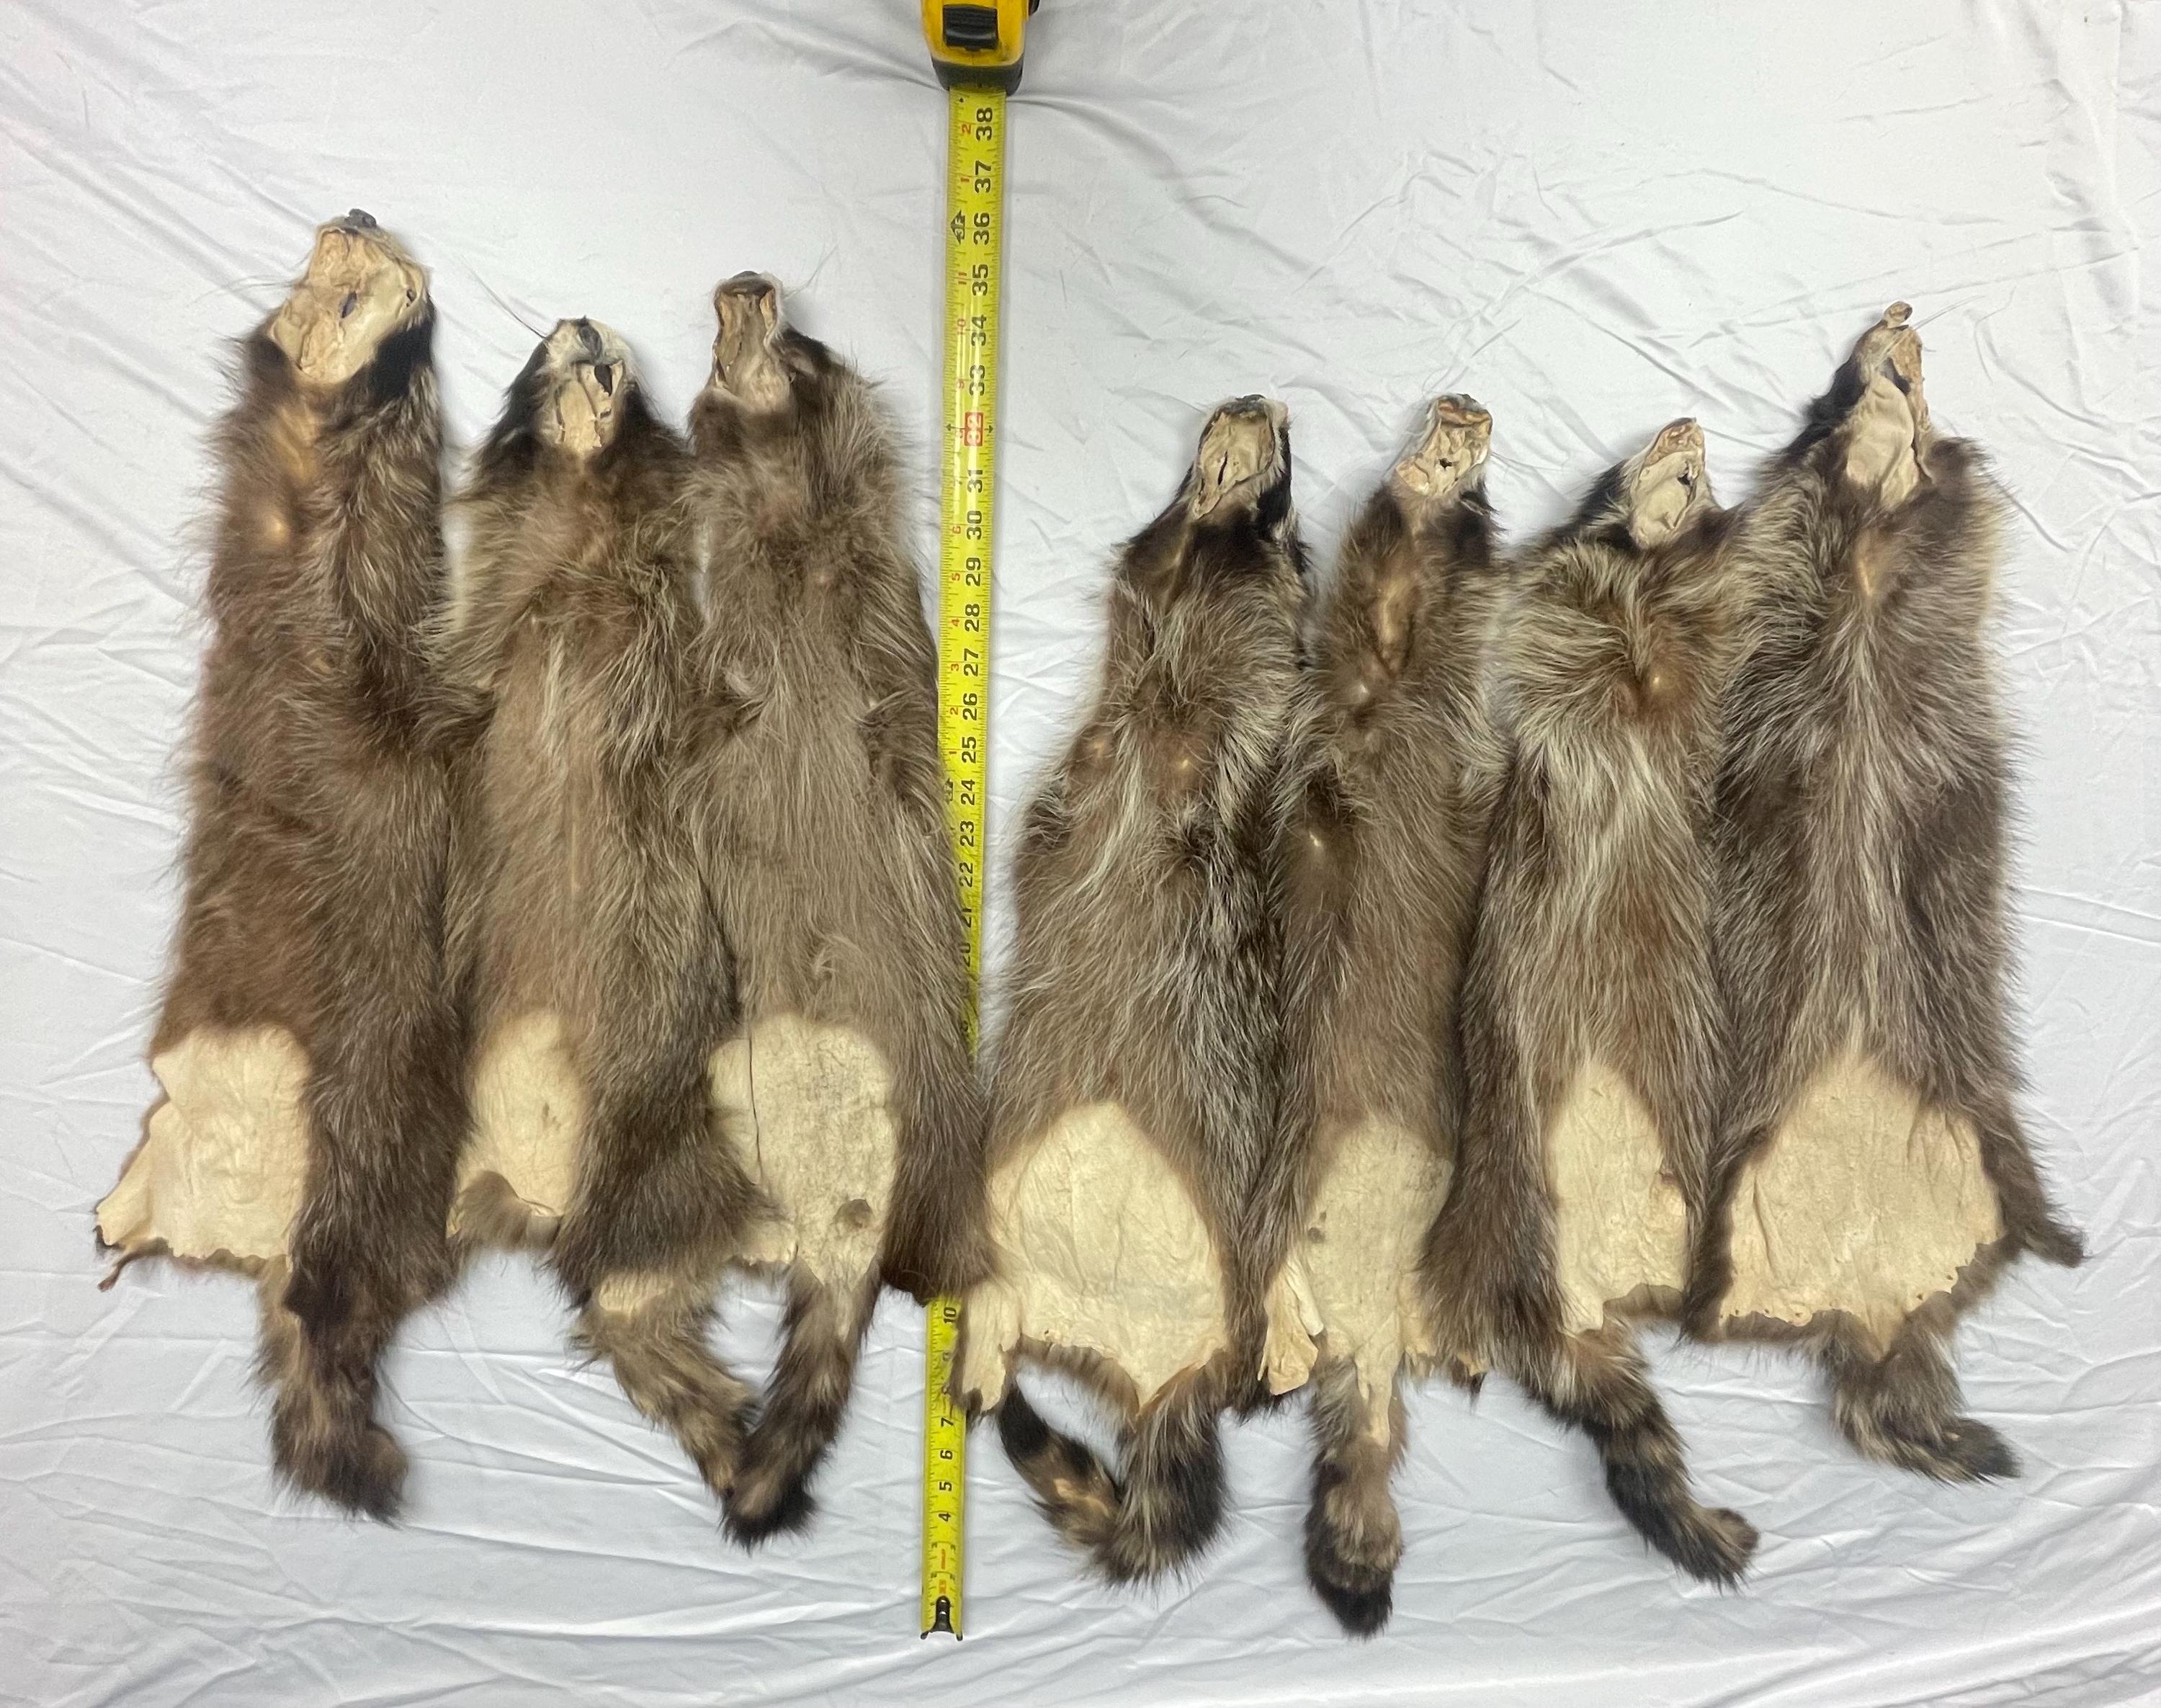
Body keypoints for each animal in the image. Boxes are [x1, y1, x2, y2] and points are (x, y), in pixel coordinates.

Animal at [95, 212, 466, 1519]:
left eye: (374, 287)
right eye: (358, 250)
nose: (353, 213)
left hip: (353, 1170)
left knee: (329, 1296)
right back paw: (116, 1223)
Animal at [433, 319, 762, 1505]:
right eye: (538, 347)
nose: (578, 320)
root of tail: (544, 1202)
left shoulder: (672, 641)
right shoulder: (484, 637)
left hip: (665, 1171)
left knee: (639, 1290)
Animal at [957, 397, 1315, 1584]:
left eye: (1294, 496)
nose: (1258, 401)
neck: (1163, 703)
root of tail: (1146, 1363)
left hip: (1241, 1199)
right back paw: (986, 1319)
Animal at [1421, 417, 1760, 1584]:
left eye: (1702, 459)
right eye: (1656, 444)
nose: (1689, 424)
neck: (1641, 579)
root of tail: (1569, 1318)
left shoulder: (1697, 644)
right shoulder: (1559, 601)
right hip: (1501, 1187)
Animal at [1686, 305, 2084, 1477]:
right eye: (1836, 367)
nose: (1900, 314)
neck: (1869, 516)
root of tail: (1872, 1303)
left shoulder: (1939, 544)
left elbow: (1954, 510)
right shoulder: (1794, 532)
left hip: (1987, 1129)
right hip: (1738, 1187)